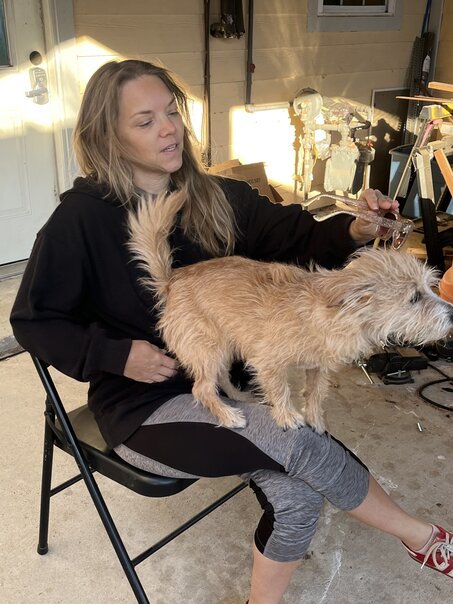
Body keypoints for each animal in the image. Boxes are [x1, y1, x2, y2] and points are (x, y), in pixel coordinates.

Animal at [128, 189, 453, 433]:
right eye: (414, 298)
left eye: (428, 288)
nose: (451, 314)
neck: (333, 313)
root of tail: (171, 280)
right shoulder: (268, 362)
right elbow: (281, 389)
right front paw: (287, 417)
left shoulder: (317, 366)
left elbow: (315, 392)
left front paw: (315, 419)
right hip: (208, 348)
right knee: (203, 388)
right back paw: (229, 416)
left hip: (225, 346)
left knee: (220, 379)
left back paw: (238, 397)